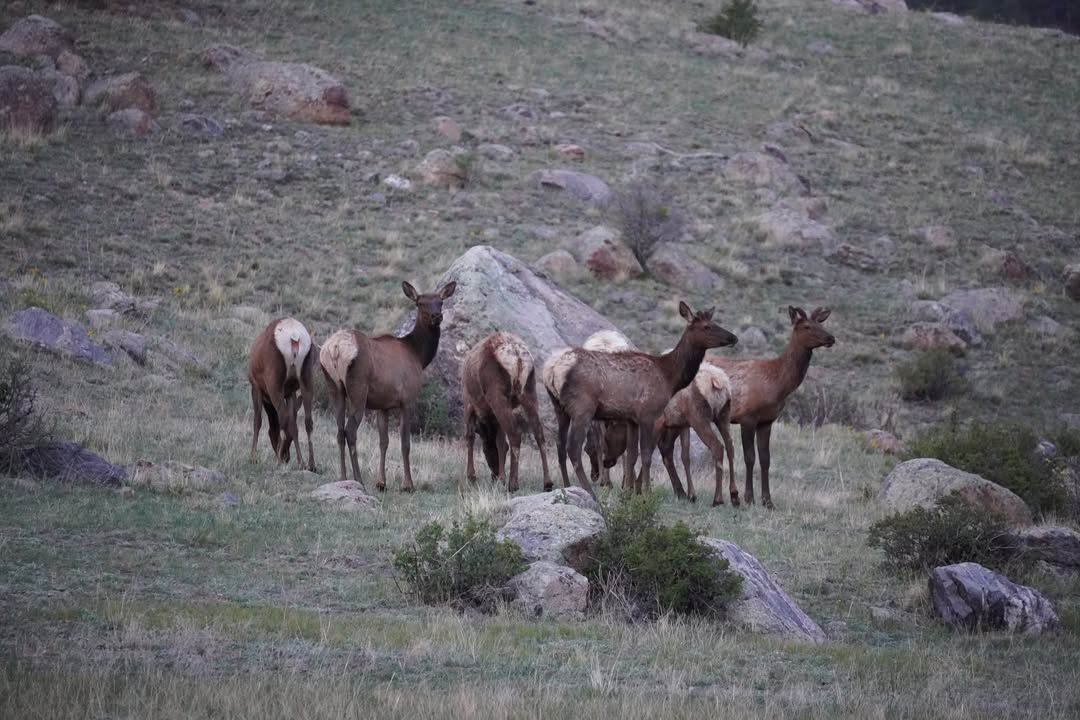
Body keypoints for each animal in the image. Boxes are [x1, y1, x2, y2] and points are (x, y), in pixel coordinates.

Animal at [247, 317, 317, 472]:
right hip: (307, 378)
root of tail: (294, 338)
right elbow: (294, 423)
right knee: (307, 421)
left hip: (275, 383)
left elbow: (257, 421)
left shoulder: (255, 385)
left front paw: (253, 457)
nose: (287, 457)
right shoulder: (290, 391)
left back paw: (279, 460)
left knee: (284, 417)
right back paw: (309, 464)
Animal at [319, 281, 457, 492]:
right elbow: (405, 442)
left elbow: (383, 441)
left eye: (440, 302)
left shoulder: (382, 405)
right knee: (350, 431)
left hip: (334, 387)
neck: (418, 356)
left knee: (339, 431)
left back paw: (343, 478)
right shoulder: (407, 399)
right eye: (420, 303)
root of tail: (334, 349)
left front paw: (381, 482)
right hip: (358, 388)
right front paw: (408, 485)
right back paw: (359, 480)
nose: (436, 316)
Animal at [460, 331, 551, 493]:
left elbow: (470, 437)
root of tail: (516, 353)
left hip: (497, 393)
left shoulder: (468, 402)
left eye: (485, 450)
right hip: (529, 390)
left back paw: (512, 483)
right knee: (539, 434)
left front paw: (471, 477)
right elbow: (502, 442)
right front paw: (500, 478)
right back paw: (547, 482)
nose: (494, 474)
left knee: (515, 433)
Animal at [654, 364, 737, 506]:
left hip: (699, 419)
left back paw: (718, 498)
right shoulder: (682, 425)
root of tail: (716, 381)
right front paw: (690, 495)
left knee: (717, 446)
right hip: (723, 416)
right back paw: (734, 494)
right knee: (730, 446)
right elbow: (685, 457)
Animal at [692, 306, 834, 509]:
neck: (779, 385)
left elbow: (766, 459)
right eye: (807, 326)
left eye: (820, 324)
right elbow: (750, 457)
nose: (831, 338)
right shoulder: (747, 417)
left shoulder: (767, 421)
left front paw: (768, 501)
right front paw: (749, 497)